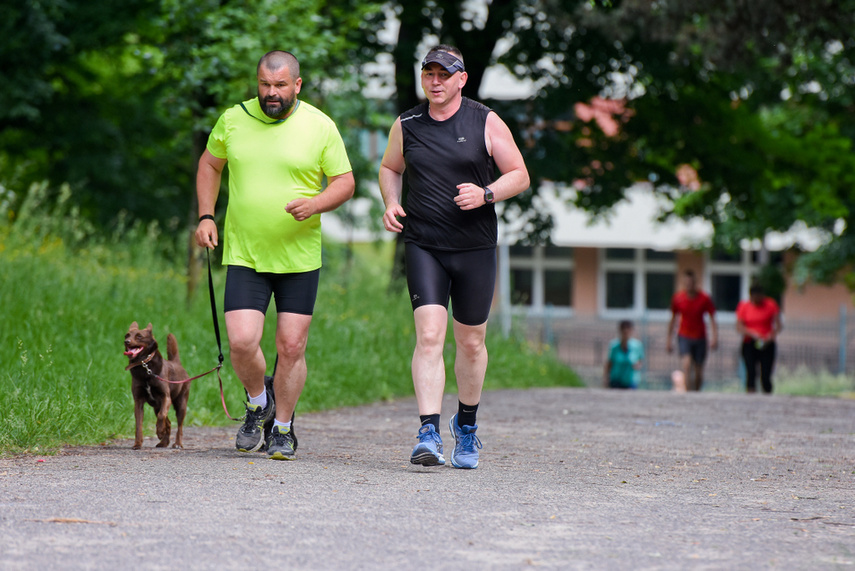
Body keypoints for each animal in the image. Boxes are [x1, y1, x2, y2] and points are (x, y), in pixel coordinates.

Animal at [123, 322, 191, 452]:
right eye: (127, 335)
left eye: (139, 336)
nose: (126, 342)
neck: (145, 366)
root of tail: (177, 363)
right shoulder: (138, 401)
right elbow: (138, 424)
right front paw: (137, 444)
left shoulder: (166, 397)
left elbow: (161, 416)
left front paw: (159, 432)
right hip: (157, 406)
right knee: (168, 423)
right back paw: (164, 442)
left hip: (181, 404)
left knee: (179, 426)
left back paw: (177, 443)